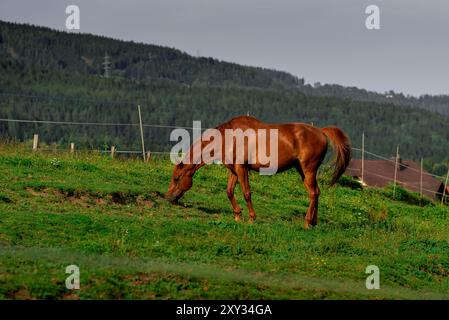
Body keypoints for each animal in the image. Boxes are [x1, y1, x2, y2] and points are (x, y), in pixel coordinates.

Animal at [164, 115, 350, 228]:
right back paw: (313, 222)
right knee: (316, 192)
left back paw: (306, 223)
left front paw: (251, 218)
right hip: (303, 170)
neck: (229, 138)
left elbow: (246, 193)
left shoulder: (242, 168)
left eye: (176, 178)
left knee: (312, 193)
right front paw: (237, 215)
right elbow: (229, 192)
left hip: (308, 169)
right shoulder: (233, 170)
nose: (168, 198)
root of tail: (321, 131)